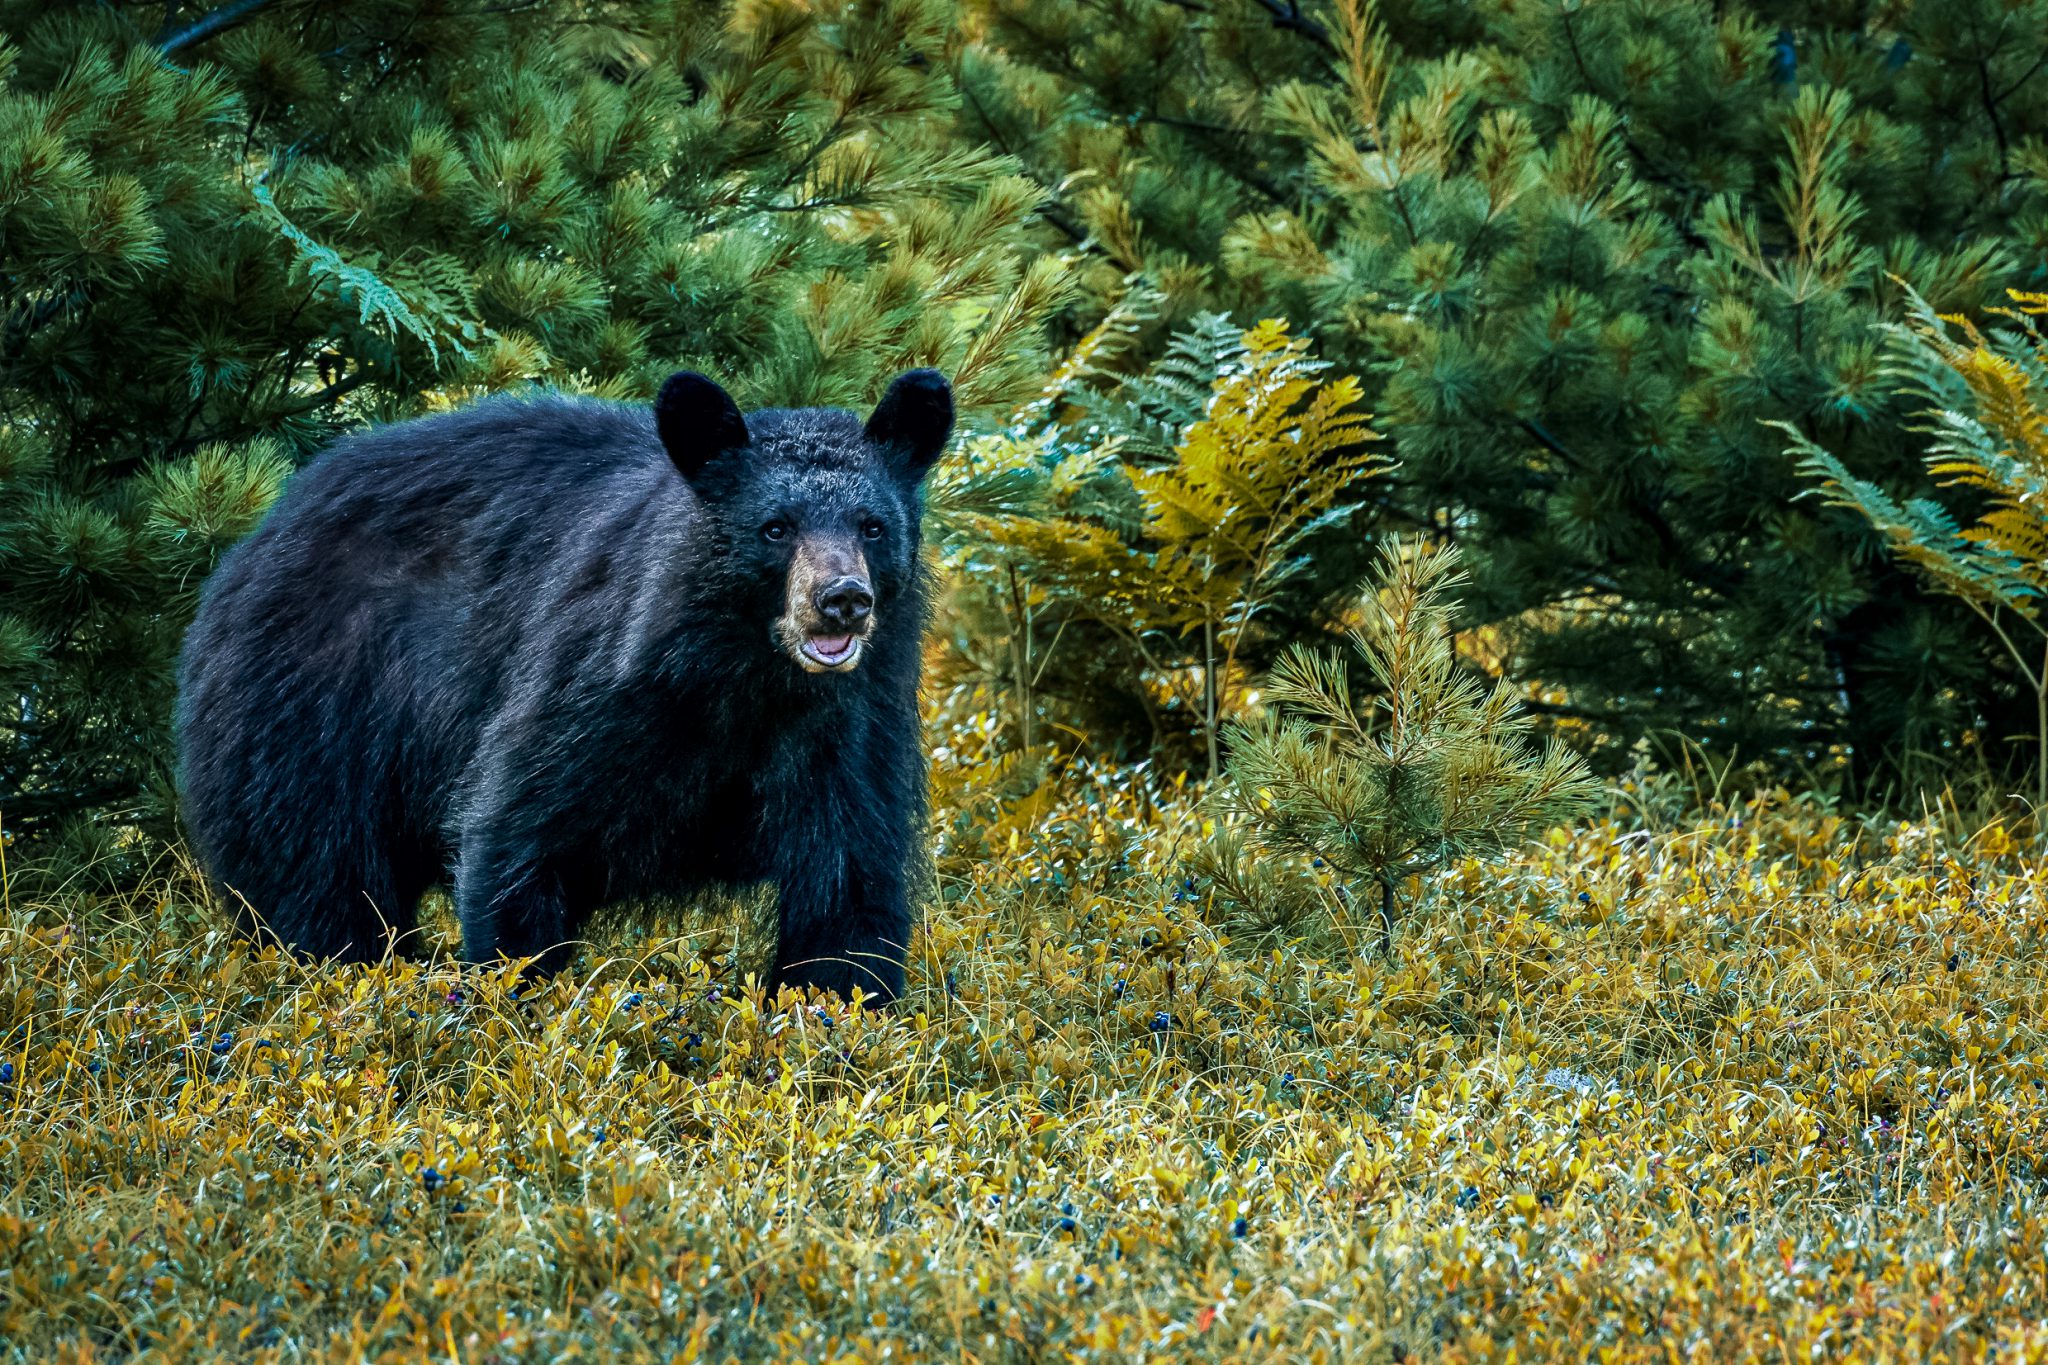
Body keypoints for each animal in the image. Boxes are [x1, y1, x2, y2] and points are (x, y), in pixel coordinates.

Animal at [176, 370, 950, 1002]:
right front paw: (516, 1000)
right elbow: (518, 833)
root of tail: (255, 538)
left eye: (872, 526)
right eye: (776, 527)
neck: (747, 679)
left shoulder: (850, 723)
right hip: (310, 708)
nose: (842, 599)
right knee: (320, 878)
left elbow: (848, 889)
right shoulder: (601, 683)